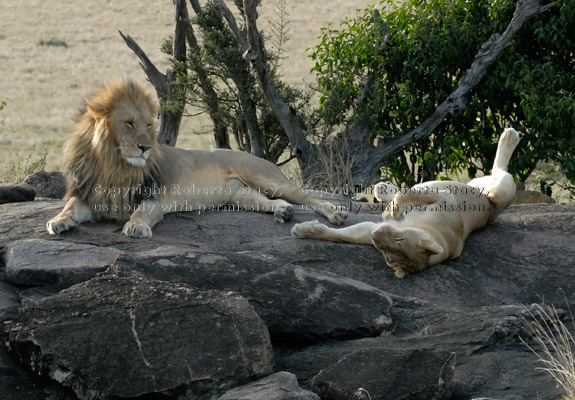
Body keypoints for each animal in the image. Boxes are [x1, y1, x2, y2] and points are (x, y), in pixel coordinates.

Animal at [47, 79, 346, 239]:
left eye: (148, 125)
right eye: (130, 123)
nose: (146, 147)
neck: (113, 165)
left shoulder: (152, 198)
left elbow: (141, 212)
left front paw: (136, 227)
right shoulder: (89, 195)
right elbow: (69, 207)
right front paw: (58, 221)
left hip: (267, 178)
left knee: (308, 198)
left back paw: (336, 214)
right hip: (239, 196)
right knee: (272, 201)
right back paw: (283, 211)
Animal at [292, 129, 520, 278]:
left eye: (390, 252)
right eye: (398, 240)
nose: (376, 235)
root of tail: (491, 207)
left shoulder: (373, 230)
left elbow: (345, 235)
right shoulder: (444, 197)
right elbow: (403, 195)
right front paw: (303, 230)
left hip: (505, 190)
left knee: (501, 169)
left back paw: (510, 136)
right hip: (487, 189)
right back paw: (383, 189)